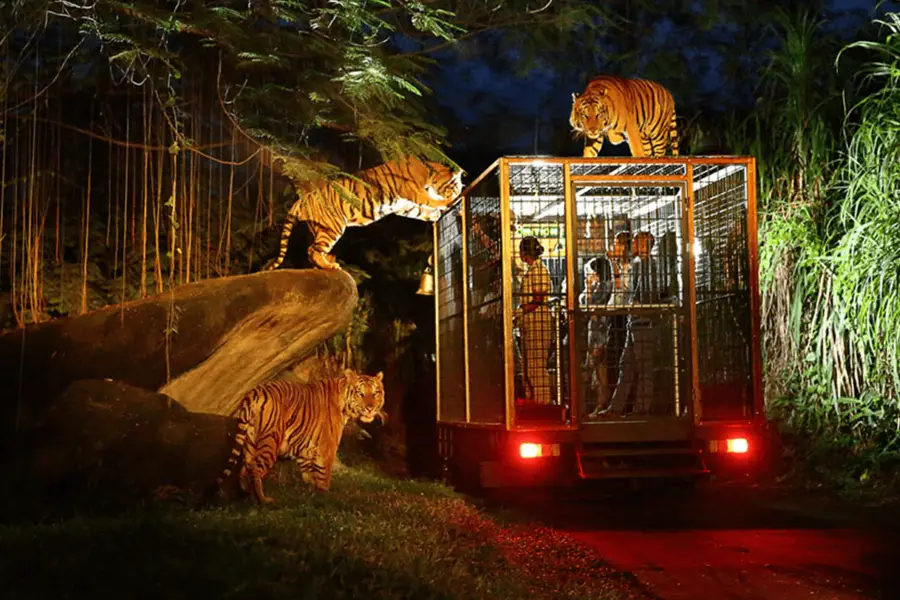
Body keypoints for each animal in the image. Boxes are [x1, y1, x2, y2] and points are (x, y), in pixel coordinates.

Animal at [221, 370, 386, 502]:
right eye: (360, 393)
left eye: (376, 393)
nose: (370, 408)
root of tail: (255, 391)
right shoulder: (327, 448)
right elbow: (324, 475)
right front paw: (325, 497)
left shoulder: (305, 448)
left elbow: (309, 475)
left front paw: (310, 494)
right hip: (270, 441)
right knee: (255, 469)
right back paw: (263, 500)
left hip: (250, 441)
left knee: (245, 468)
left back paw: (246, 494)